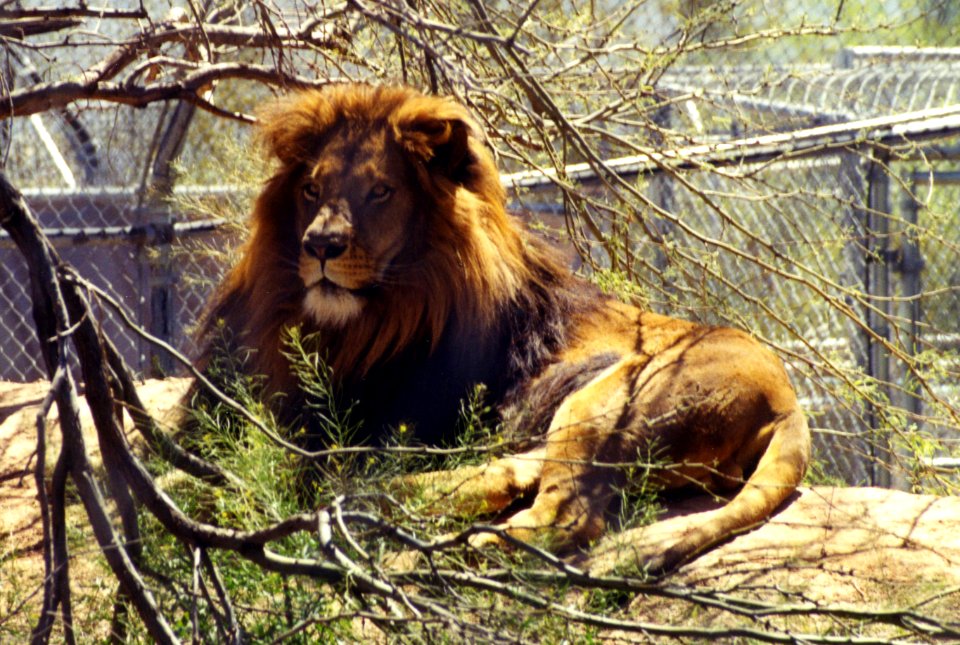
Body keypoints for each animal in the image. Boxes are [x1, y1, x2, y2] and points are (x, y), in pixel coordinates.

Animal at [195, 83, 808, 572]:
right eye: (311, 191)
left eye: (380, 191)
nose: (320, 246)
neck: (366, 323)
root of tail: (787, 401)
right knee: (512, 474)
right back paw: (387, 502)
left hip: (611, 396)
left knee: (566, 517)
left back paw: (456, 541)